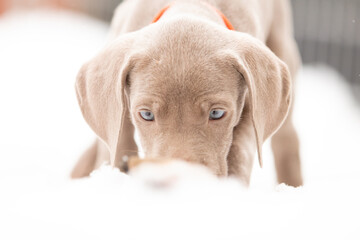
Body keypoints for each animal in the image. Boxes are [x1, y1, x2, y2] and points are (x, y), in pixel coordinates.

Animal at [72, 0, 304, 187]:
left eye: (217, 113)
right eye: (146, 114)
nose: (182, 179)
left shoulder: (249, 106)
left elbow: (239, 151)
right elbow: (117, 141)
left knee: (286, 139)